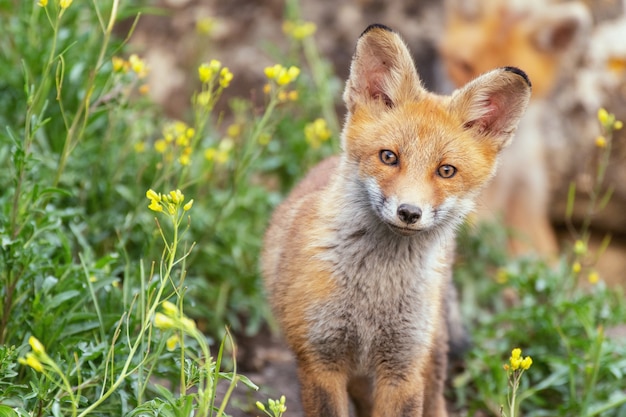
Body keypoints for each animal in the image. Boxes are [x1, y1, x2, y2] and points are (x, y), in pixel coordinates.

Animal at [260, 23, 528, 416]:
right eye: (389, 157)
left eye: (446, 171)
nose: (409, 212)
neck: (374, 297)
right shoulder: (319, 361)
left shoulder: (403, 368)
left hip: (430, 354)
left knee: (436, 401)